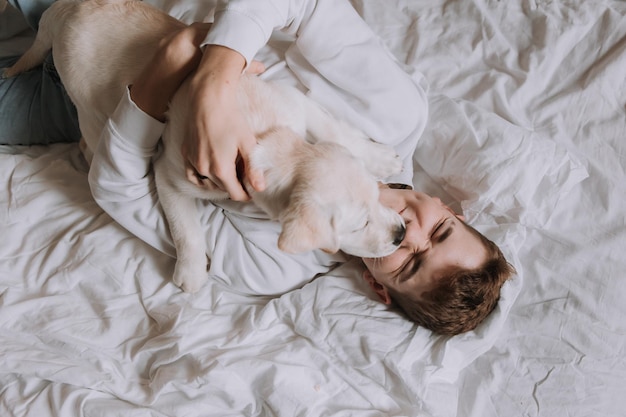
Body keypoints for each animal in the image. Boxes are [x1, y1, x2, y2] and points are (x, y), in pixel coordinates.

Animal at [4, 0, 408, 292]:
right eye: (360, 224)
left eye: (379, 197)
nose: (401, 233)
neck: (263, 138)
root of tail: (66, 9)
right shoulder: (172, 178)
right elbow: (187, 230)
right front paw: (192, 272)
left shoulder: (298, 104)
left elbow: (335, 129)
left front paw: (378, 157)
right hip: (86, 100)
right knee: (88, 132)